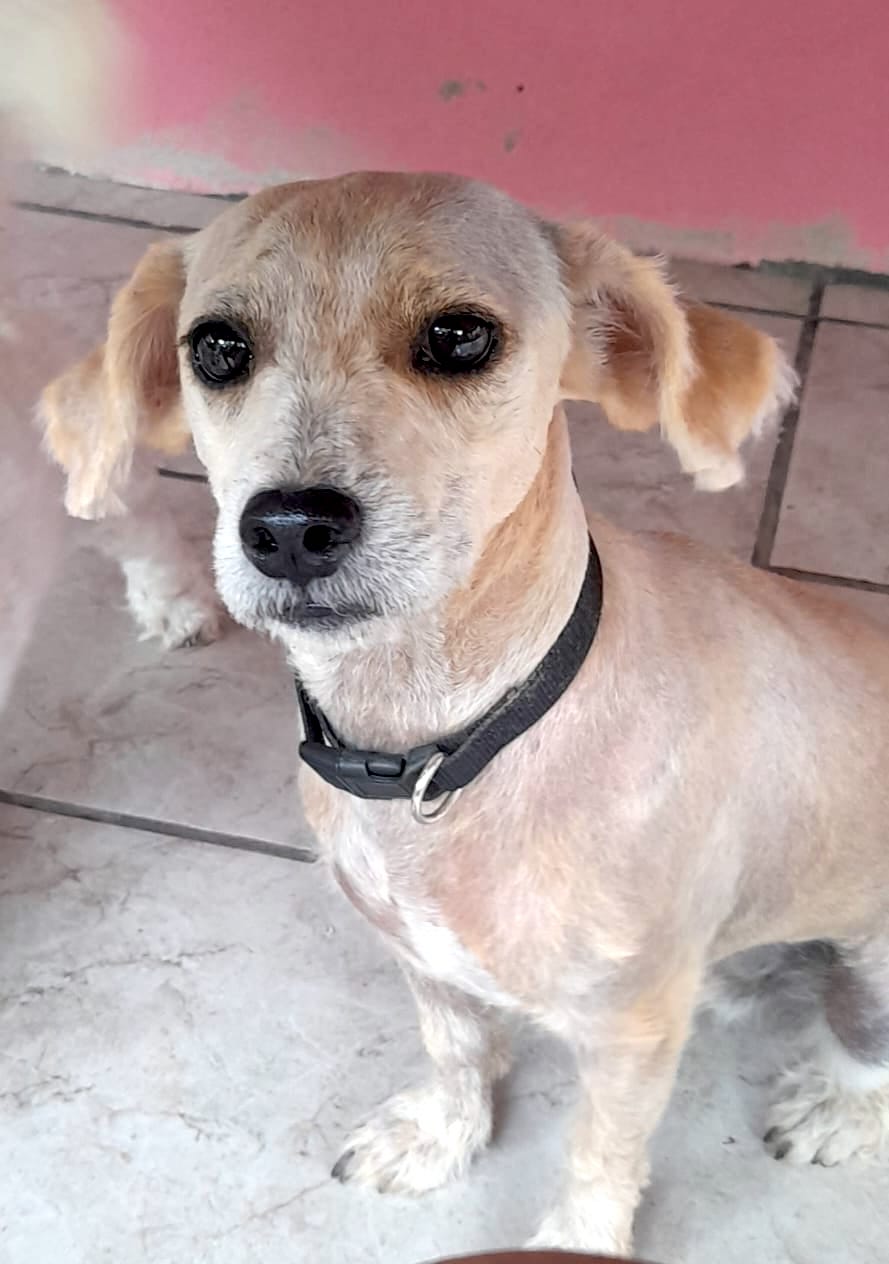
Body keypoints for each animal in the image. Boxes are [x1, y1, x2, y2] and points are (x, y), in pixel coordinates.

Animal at [39, 175, 889, 1253]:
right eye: (217, 347)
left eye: (457, 336)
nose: (289, 527)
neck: (454, 740)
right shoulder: (423, 959)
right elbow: (453, 1049)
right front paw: (440, 1137)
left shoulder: (629, 1031)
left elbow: (598, 1152)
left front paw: (575, 1243)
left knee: (865, 1041)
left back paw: (839, 1104)